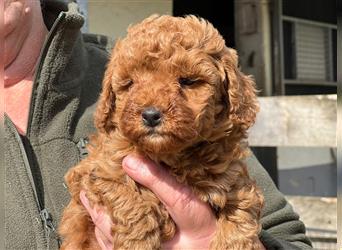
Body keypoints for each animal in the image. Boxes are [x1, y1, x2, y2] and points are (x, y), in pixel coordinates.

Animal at [59, 14, 264, 249]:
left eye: (188, 81)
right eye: (130, 83)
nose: (150, 115)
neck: (172, 156)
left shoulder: (234, 183)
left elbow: (241, 214)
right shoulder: (97, 171)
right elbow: (129, 198)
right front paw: (139, 240)